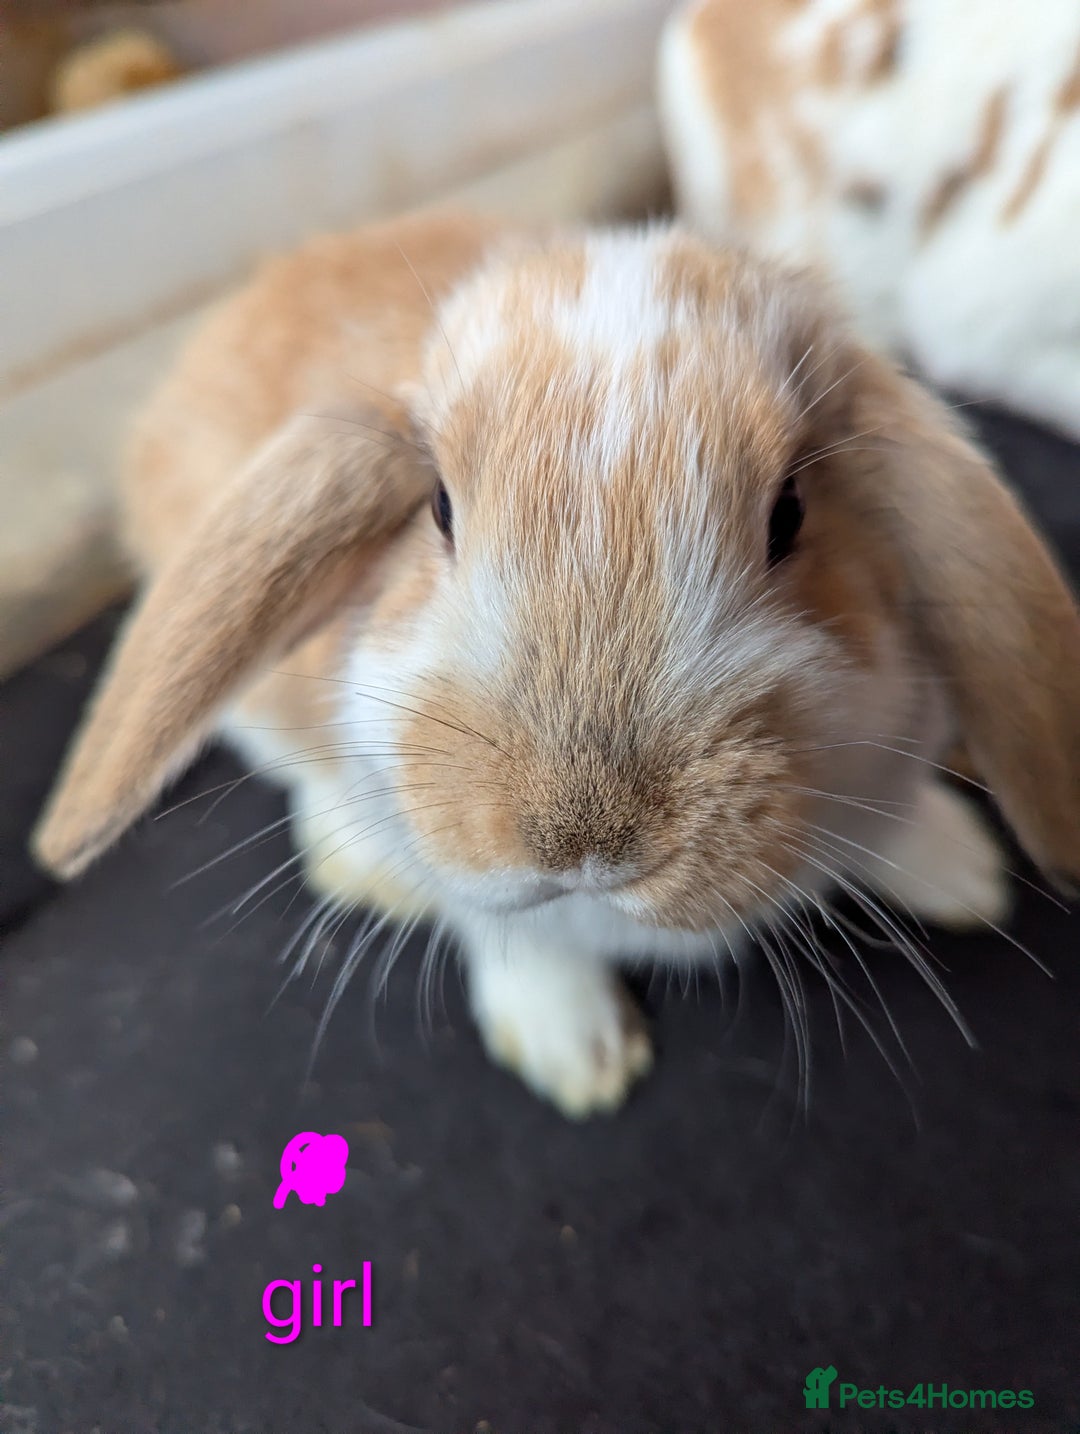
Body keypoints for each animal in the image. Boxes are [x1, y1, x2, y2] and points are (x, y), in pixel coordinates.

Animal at [33, 208, 1080, 1118]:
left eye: (790, 514)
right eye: (438, 507)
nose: (583, 839)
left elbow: (888, 824)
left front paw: (962, 873)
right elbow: (510, 936)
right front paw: (579, 1058)